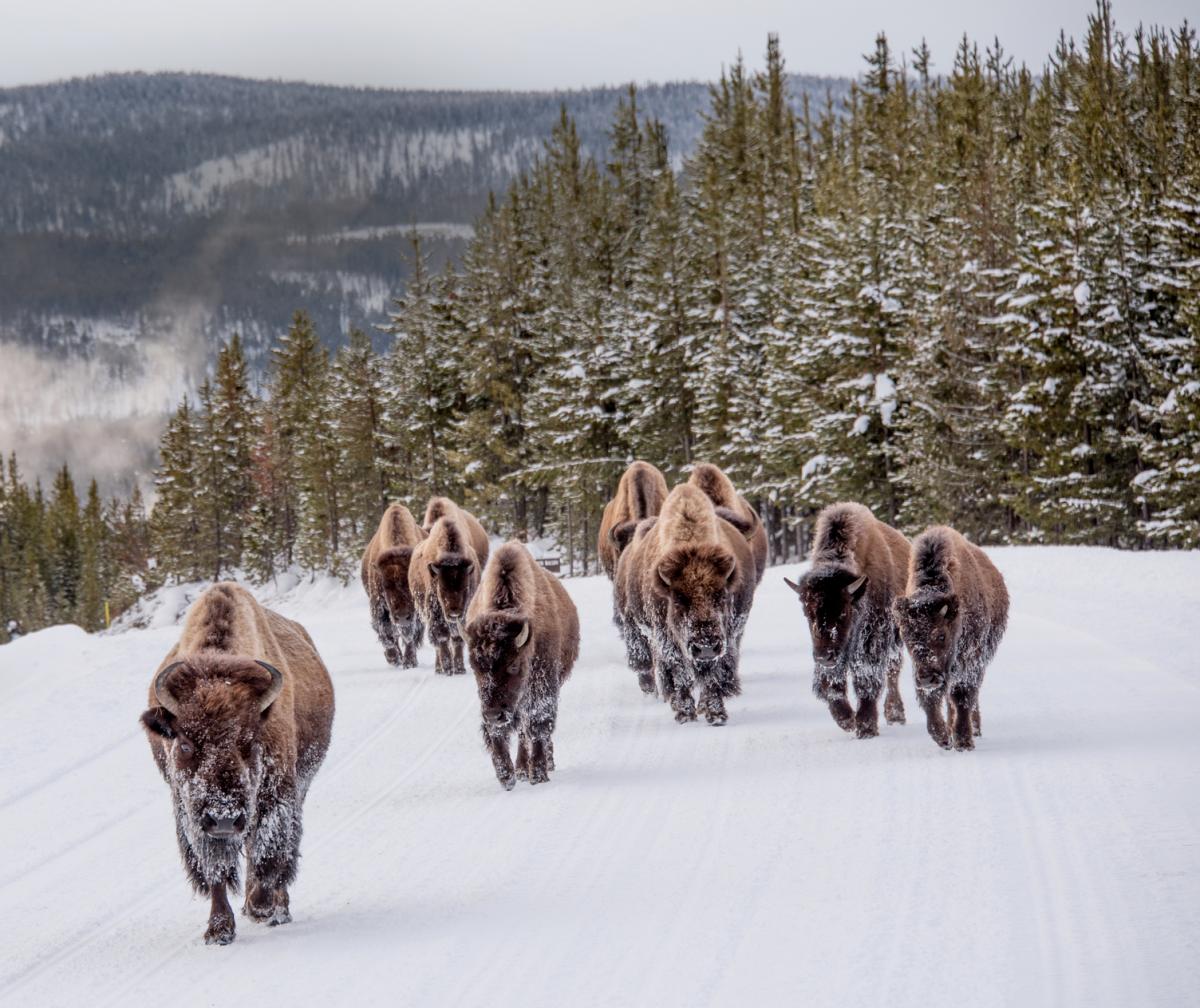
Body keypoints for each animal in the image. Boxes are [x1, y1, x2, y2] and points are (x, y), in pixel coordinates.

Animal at [142, 583, 336, 945]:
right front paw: (219, 930)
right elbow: (215, 868)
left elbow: (269, 852)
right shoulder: (191, 812)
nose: (223, 817)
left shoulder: (277, 796)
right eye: (185, 744)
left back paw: (276, 909)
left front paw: (261, 907)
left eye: (249, 741)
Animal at [465, 542, 578, 787]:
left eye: (513, 666)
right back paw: (521, 770)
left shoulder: (541, 687)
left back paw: (540, 766)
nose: (493, 714)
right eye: (476, 668)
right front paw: (506, 776)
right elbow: (498, 733)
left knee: (531, 730)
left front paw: (538, 774)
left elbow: (538, 724)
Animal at [614, 484, 753, 720]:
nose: (705, 646)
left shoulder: (724, 638)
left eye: (722, 595)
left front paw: (715, 713)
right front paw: (685, 713)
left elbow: (713, 675)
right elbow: (679, 671)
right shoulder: (666, 637)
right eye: (678, 599)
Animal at [787, 499, 907, 734]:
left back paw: (895, 714)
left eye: (844, 611)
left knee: (893, 670)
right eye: (807, 613)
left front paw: (866, 726)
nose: (824, 657)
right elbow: (831, 683)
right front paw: (846, 719)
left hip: (896, 636)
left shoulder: (872, 636)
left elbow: (866, 677)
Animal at [897, 528, 1008, 748]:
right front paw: (942, 737)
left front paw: (963, 741)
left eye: (941, 635)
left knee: (970, 696)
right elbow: (931, 700)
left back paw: (975, 730)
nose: (927, 678)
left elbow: (962, 696)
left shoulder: (970, 661)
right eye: (906, 636)